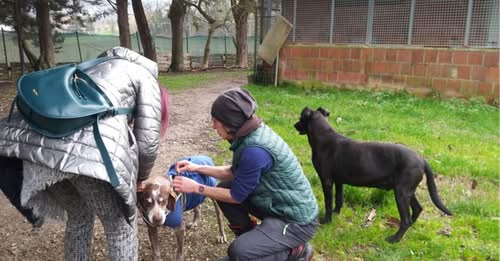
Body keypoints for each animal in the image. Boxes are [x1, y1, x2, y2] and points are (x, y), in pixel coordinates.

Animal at [292, 106, 454, 242]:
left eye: (301, 117)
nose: (294, 125)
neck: (324, 137)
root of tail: (422, 159)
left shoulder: (326, 181)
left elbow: (328, 202)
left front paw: (326, 220)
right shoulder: (339, 182)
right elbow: (338, 200)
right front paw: (336, 213)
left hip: (401, 193)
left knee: (406, 219)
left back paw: (395, 239)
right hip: (408, 191)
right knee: (417, 210)